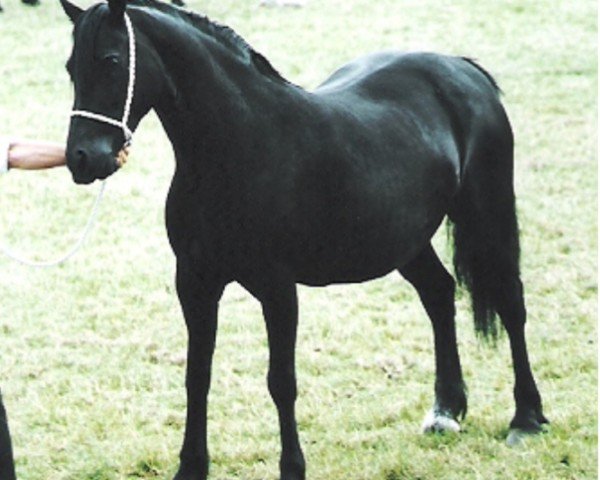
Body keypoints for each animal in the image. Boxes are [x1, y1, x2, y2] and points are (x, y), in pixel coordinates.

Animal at [59, 0, 544, 478]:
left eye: (111, 60)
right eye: (70, 67)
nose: (82, 158)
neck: (239, 145)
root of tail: (462, 69)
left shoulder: (277, 287)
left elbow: (281, 381)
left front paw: (292, 468)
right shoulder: (195, 282)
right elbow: (197, 376)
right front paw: (191, 467)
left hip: (487, 214)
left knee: (510, 303)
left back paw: (526, 418)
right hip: (404, 239)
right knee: (439, 294)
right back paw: (446, 410)